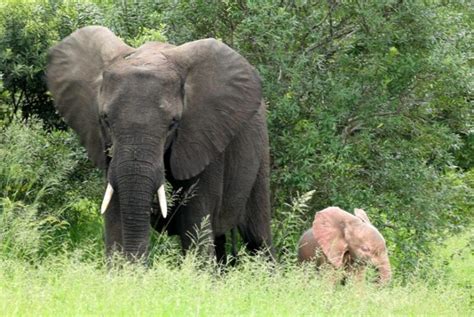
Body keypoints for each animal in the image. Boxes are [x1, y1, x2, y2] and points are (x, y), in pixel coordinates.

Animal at [47, 25, 274, 260]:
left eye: (173, 123)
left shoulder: (203, 137)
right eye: (105, 119)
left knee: (257, 238)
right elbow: (115, 220)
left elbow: (195, 228)